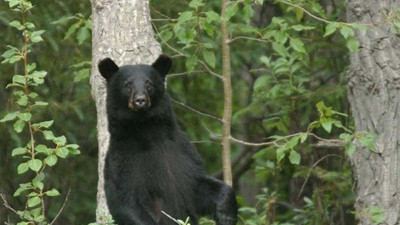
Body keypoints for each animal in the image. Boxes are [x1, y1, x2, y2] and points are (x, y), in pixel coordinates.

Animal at [98, 54, 238, 225]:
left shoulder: (181, 151)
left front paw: (226, 214)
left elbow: (197, 185)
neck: (147, 132)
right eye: (127, 85)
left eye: (149, 84)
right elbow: (125, 202)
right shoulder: (121, 161)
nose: (140, 100)